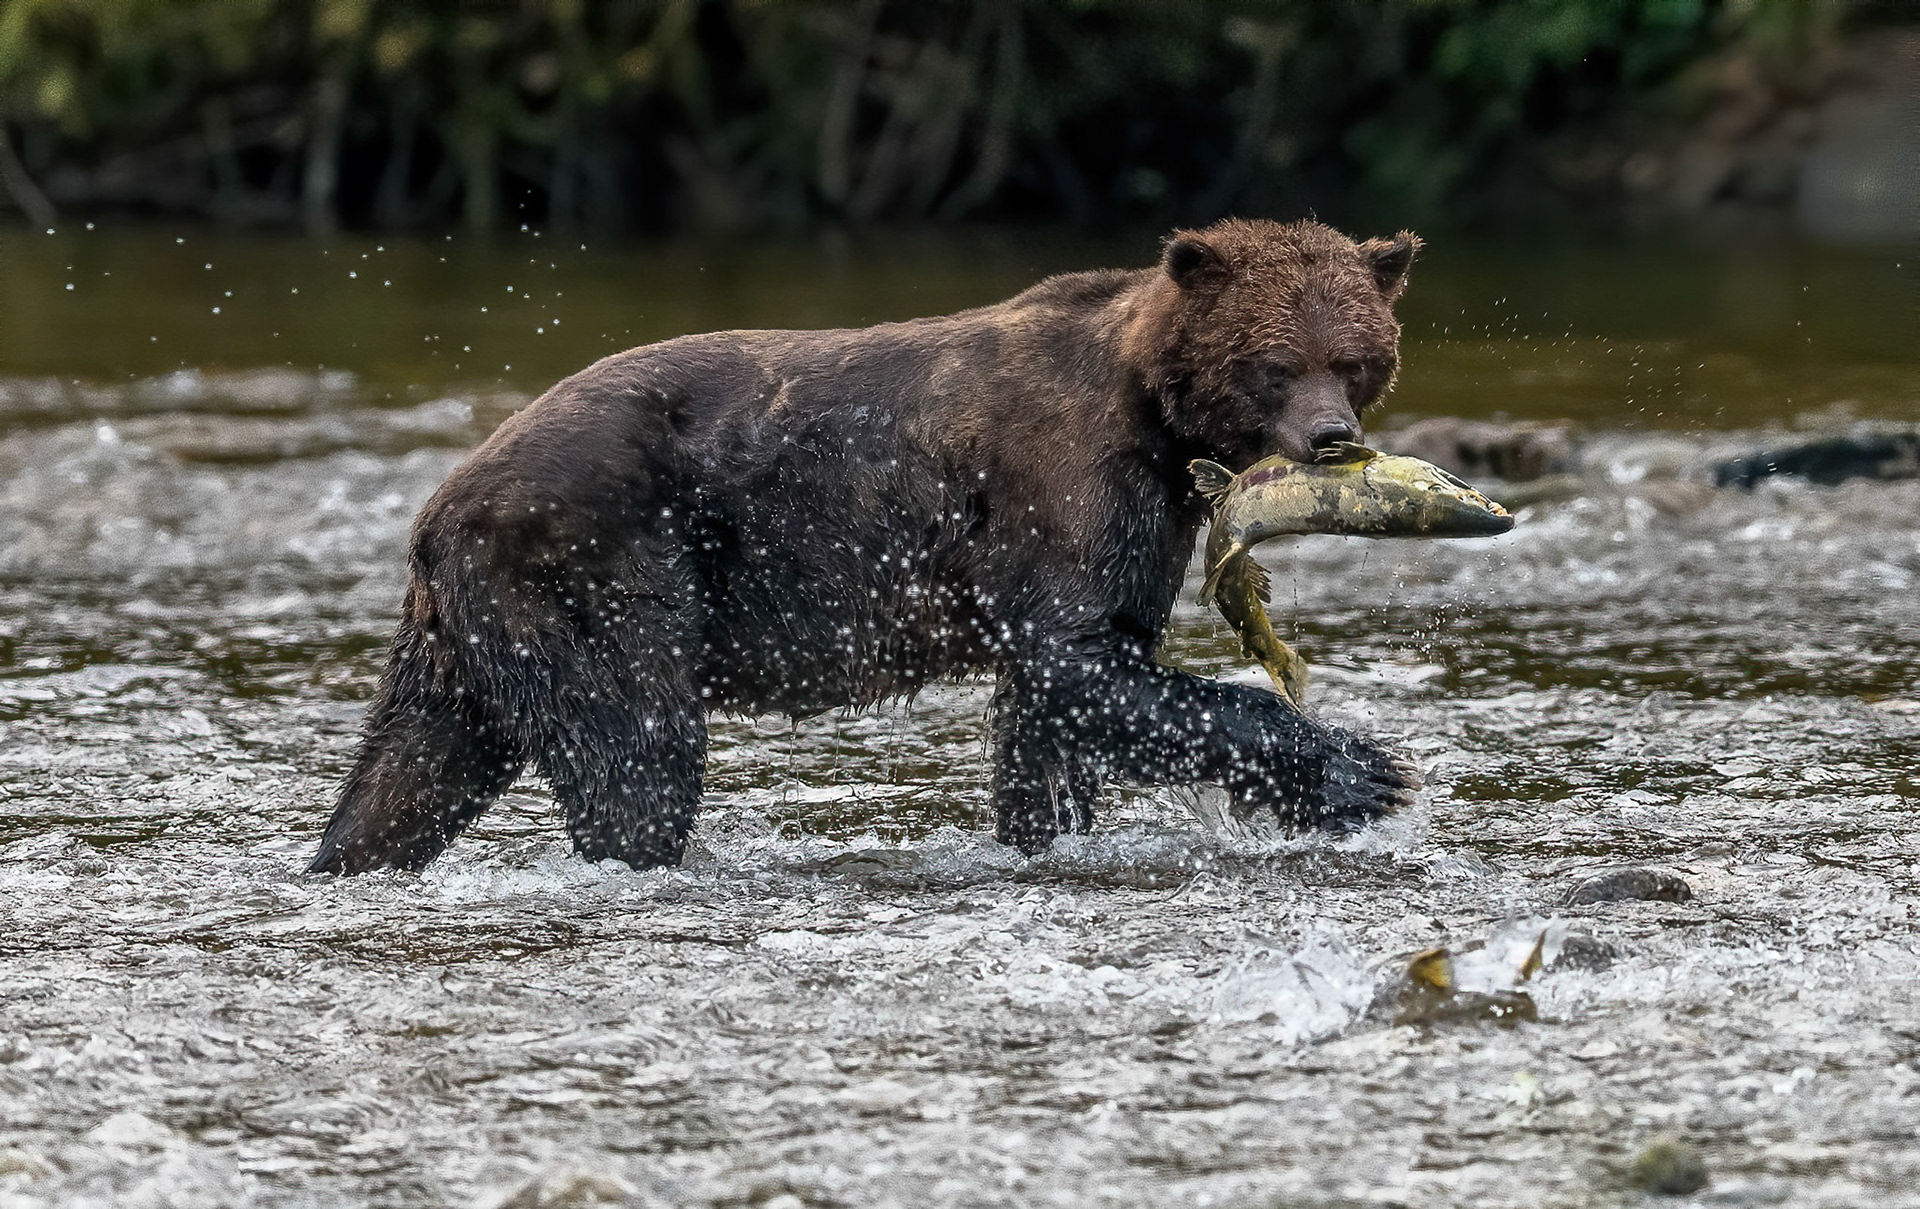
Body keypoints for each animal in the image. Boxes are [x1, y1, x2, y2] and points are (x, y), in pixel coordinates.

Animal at [310, 218, 1423, 875]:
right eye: (1275, 362)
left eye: (1355, 357)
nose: (1332, 436)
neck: (1155, 413)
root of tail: (436, 508)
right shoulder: (1066, 484)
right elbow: (1076, 663)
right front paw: (1362, 772)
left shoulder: (1146, 522)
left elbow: (1063, 707)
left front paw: (1044, 832)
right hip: (590, 561)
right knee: (637, 750)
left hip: (467, 634)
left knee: (413, 766)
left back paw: (344, 857)